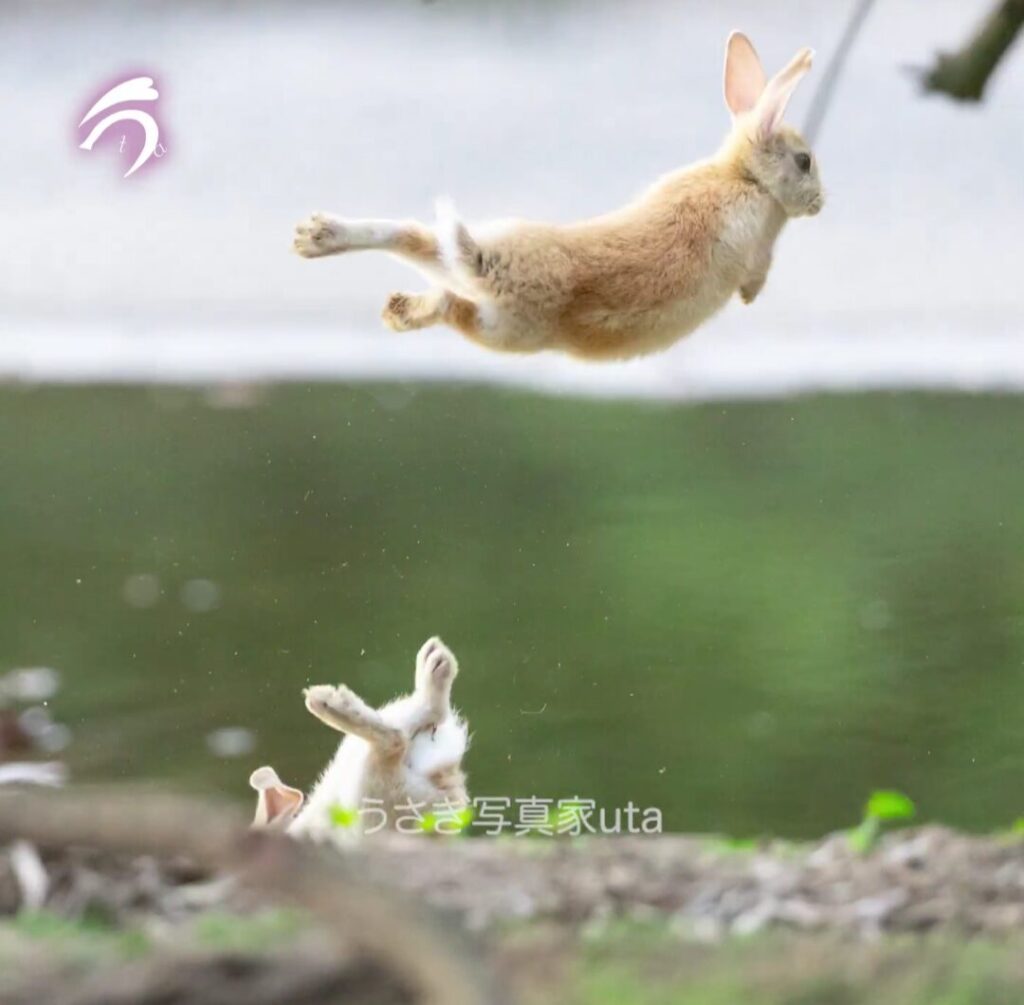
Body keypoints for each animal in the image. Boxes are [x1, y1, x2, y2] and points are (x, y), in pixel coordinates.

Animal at [292, 31, 823, 362]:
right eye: (804, 161)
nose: (820, 202)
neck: (743, 175)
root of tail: (487, 261)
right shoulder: (760, 238)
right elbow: (760, 267)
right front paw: (750, 295)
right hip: (505, 329)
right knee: (450, 305)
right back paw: (398, 306)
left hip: (468, 259)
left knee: (412, 239)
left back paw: (324, 245)